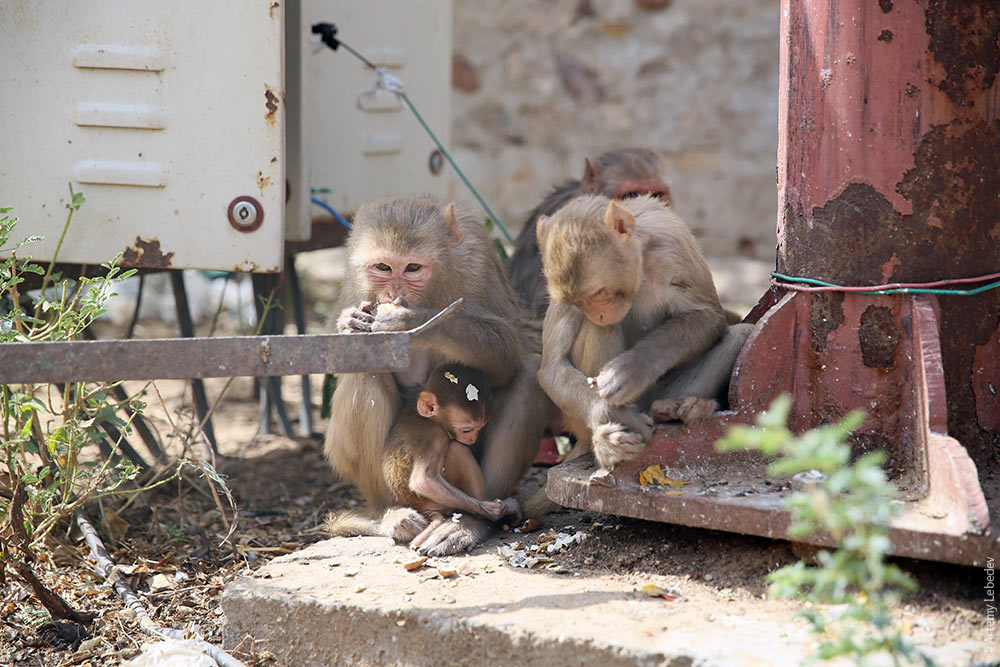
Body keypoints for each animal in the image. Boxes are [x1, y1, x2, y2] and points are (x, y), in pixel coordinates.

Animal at [382, 366, 524, 548]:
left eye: (481, 427)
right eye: (467, 429)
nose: (472, 439)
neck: (433, 420)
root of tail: (421, 507)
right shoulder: (435, 436)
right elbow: (423, 481)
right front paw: (492, 510)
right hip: (437, 501)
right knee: (458, 449)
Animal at [532, 193, 752, 512]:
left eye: (598, 293)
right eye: (579, 301)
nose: (597, 313)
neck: (640, 265)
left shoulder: (673, 242)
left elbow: (707, 316)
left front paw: (632, 369)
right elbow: (552, 369)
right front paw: (612, 413)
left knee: (739, 335)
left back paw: (679, 408)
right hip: (576, 420)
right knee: (600, 332)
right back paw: (606, 446)